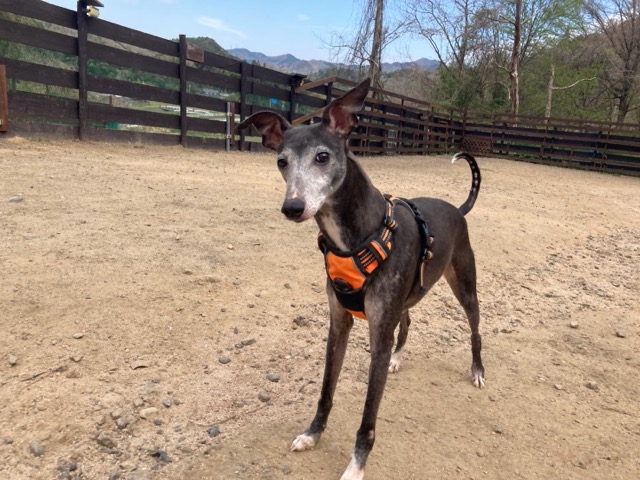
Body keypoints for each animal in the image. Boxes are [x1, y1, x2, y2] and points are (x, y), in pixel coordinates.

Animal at [237, 78, 485, 480]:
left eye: (322, 157)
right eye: (281, 162)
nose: (292, 208)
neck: (354, 240)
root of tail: (457, 209)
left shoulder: (377, 336)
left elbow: (368, 417)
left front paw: (356, 465)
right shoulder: (339, 324)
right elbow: (325, 391)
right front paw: (313, 433)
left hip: (464, 284)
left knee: (475, 328)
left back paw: (477, 369)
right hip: (407, 296)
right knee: (408, 320)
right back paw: (400, 358)